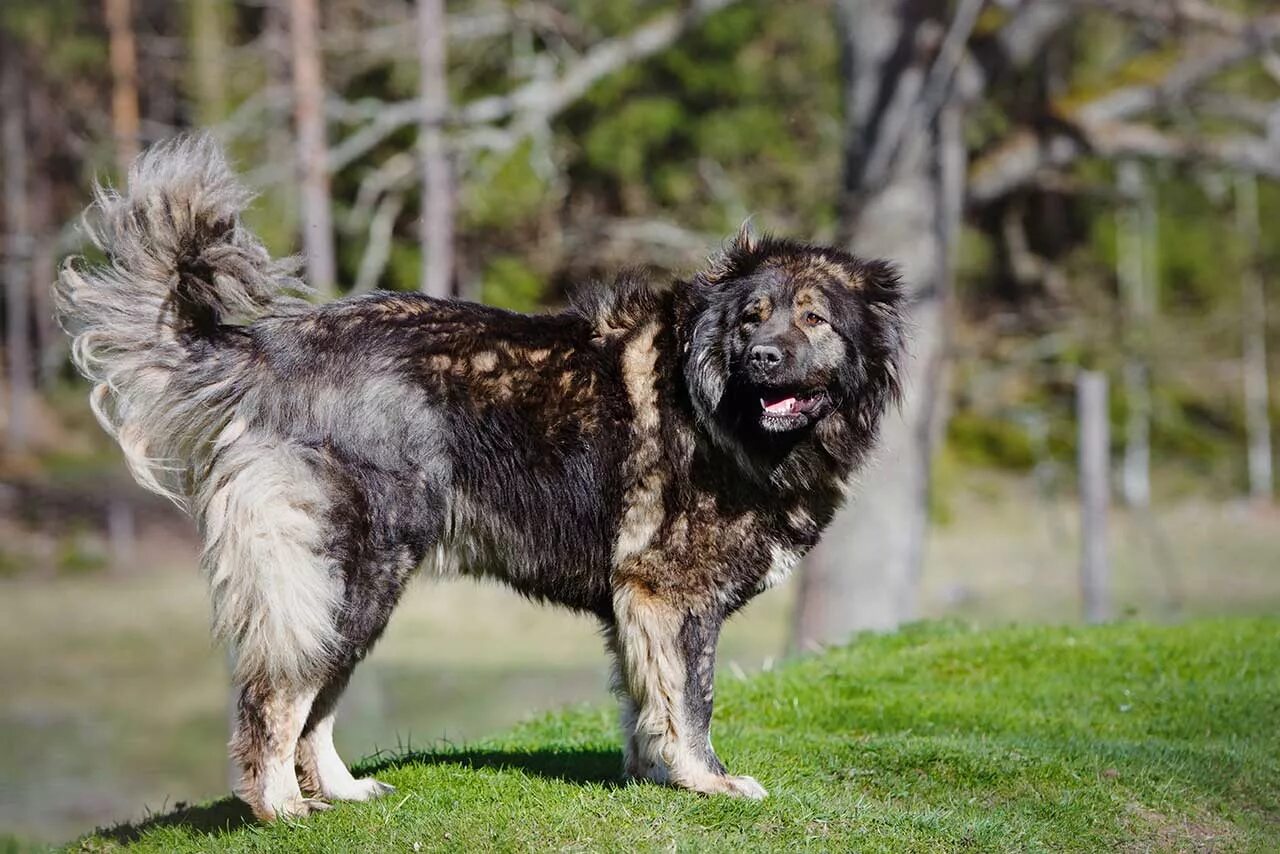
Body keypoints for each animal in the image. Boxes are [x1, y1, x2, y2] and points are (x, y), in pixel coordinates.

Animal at [55, 135, 906, 819]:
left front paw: (654, 778)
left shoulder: (638, 607)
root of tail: (272, 350)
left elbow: (645, 704)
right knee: (278, 697)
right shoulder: (672, 596)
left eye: (813, 318)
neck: (715, 405)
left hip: (363, 590)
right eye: (752, 317)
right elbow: (691, 703)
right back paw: (280, 808)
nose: (761, 357)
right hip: (348, 577)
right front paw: (710, 783)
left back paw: (341, 792)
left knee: (317, 702)